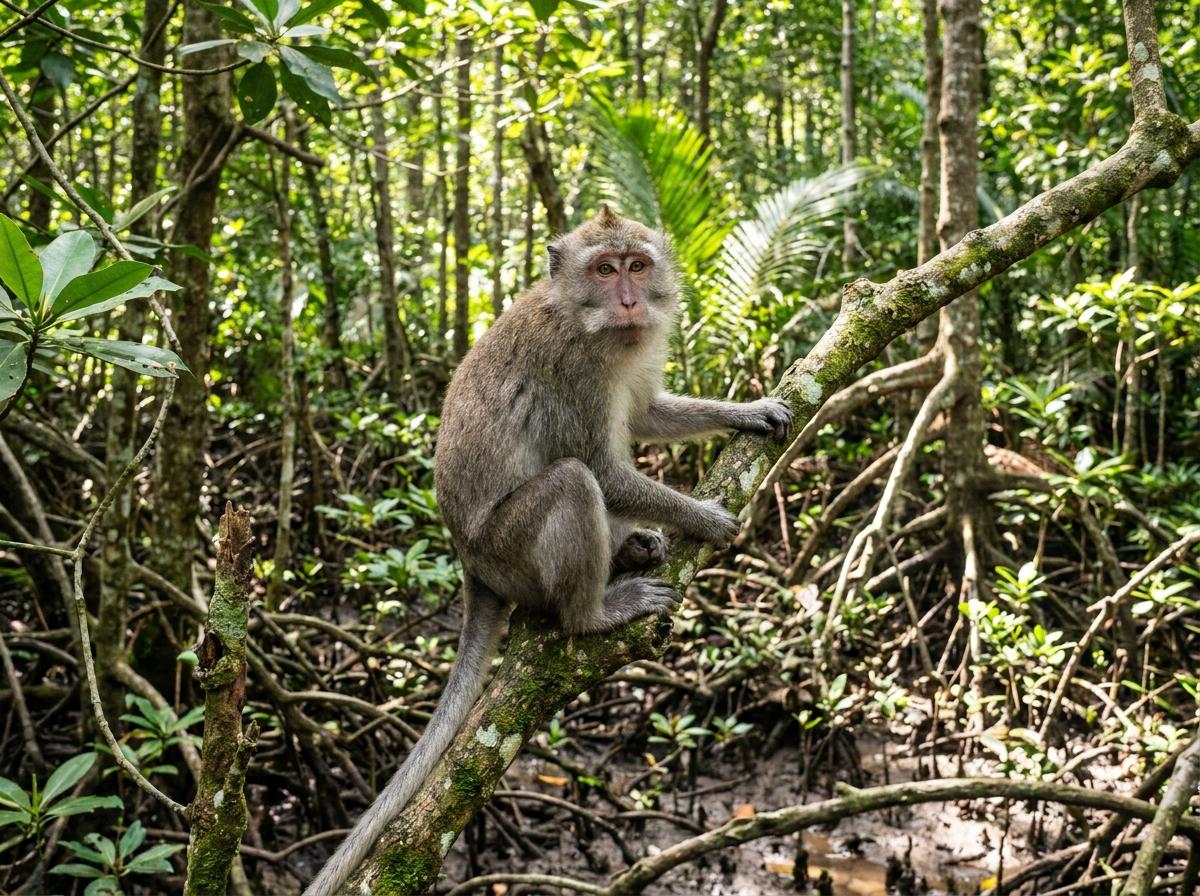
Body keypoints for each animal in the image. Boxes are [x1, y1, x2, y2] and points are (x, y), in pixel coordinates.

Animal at [304, 207, 793, 896]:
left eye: (637, 264)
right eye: (605, 269)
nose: (629, 300)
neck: (590, 324)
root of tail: (469, 565)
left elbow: (646, 415)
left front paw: (748, 411)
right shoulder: (571, 369)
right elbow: (602, 468)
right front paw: (707, 517)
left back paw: (632, 550)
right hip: (508, 551)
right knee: (572, 482)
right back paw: (595, 612)